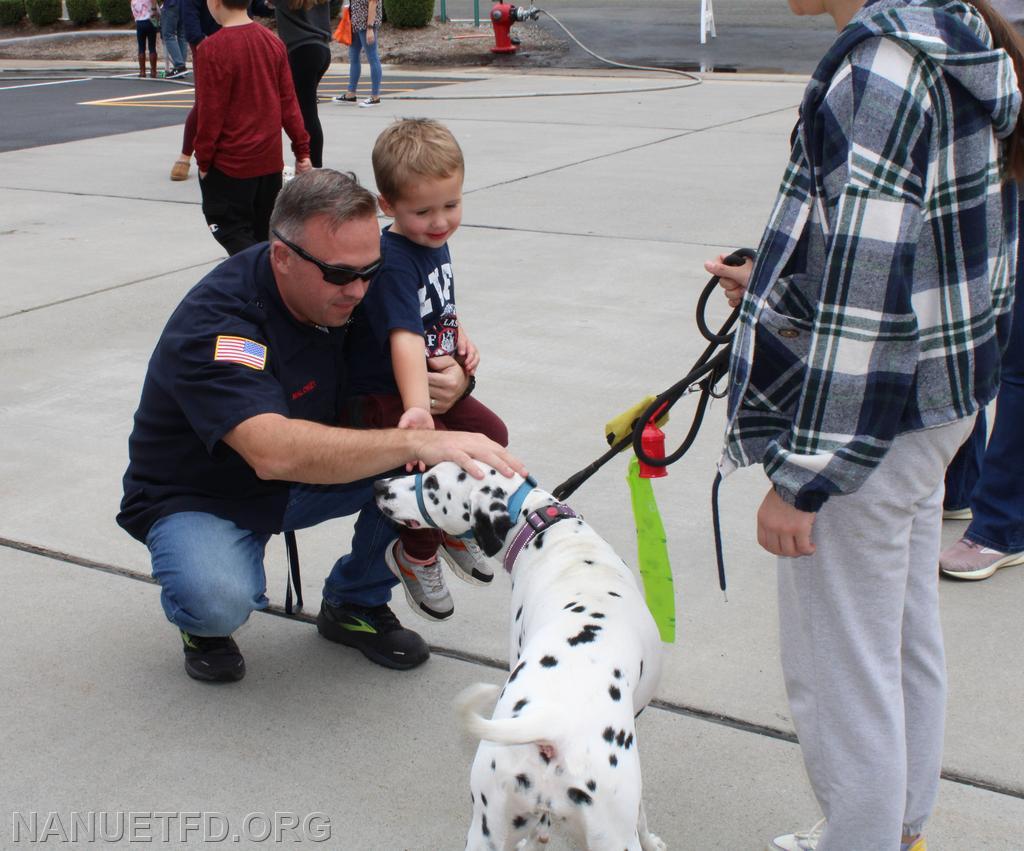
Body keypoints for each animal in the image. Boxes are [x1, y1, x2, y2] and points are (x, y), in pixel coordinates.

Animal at [372, 462, 667, 851]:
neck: (548, 531)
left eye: (432, 482)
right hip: (615, 837)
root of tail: (550, 727)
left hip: (487, 830)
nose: (378, 486)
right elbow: (643, 811)